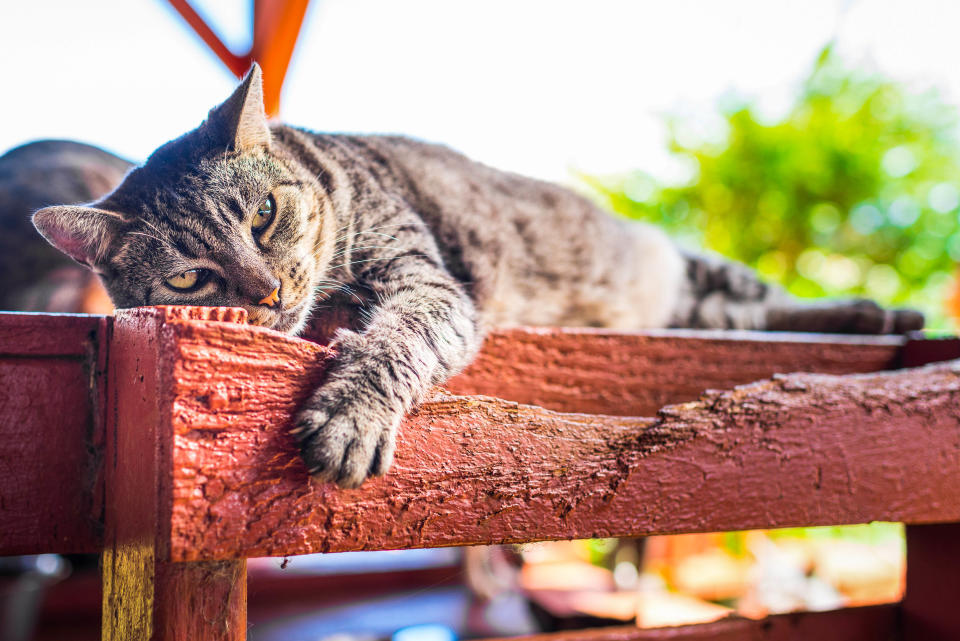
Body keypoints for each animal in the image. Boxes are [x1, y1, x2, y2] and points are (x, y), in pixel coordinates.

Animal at [31, 63, 924, 484]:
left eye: (263, 216)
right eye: (190, 280)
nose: (268, 292)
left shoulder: (431, 286)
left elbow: (393, 344)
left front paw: (350, 412)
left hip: (701, 271)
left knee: (775, 298)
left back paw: (881, 313)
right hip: (708, 309)